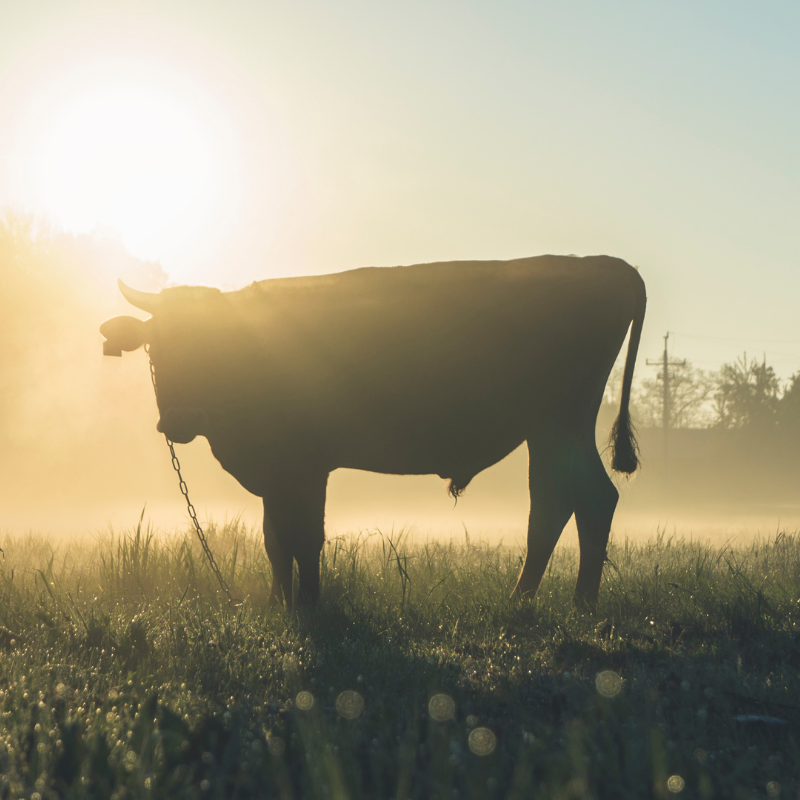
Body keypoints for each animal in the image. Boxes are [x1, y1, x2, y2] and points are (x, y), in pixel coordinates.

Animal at [100, 255, 646, 609]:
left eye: (214, 343)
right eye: (155, 345)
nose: (181, 419)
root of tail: (605, 264)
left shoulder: (305, 466)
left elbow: (305, 537)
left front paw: (310, 606)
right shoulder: (277, 473)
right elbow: (274, 539)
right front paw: (279, 604)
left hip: (558, 423)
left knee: (571, 503)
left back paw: (554, 604)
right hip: (557, 429)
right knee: (574, 502)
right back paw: (551, 601)